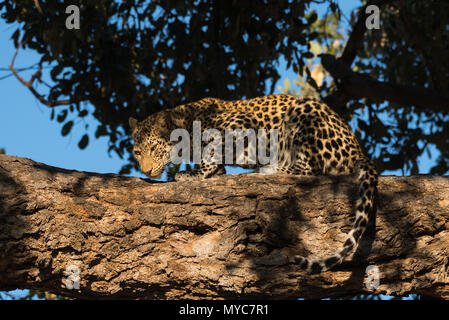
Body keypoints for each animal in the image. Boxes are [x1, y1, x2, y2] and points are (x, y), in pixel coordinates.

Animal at [128, 94, 376, 274]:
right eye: (138, 152)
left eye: (153, 148)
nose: (146, 171)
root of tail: (358, 150)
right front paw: (209, 172)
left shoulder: (241, 126)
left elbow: (212, 151)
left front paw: (192, 174)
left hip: (304, 114)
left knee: (308, 168)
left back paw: (268, 170)